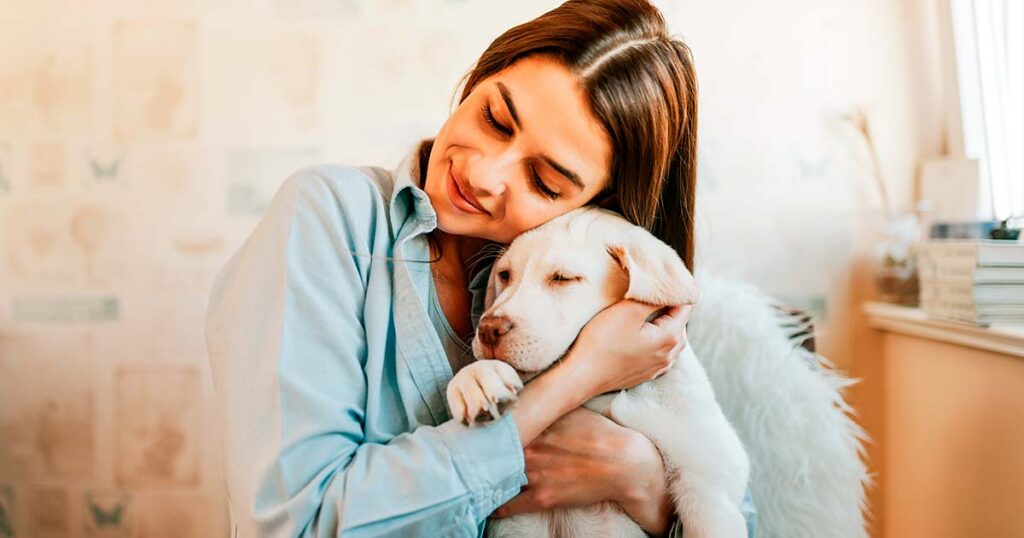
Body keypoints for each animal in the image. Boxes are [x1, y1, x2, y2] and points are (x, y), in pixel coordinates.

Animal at [448, 207, 753, 536]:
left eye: (563, 278)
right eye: (505, 275)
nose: (488, 330)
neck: (603, 395)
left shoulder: (711, 491)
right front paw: (476, 379)